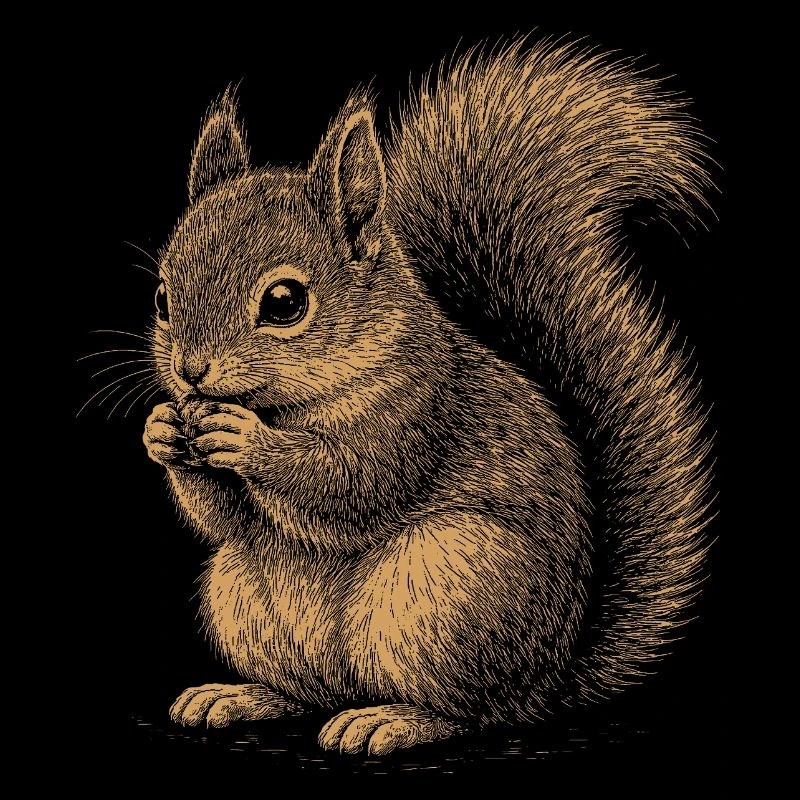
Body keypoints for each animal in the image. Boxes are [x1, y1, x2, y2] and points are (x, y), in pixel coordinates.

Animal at [141, 38, 713, 756]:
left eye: (285, 303)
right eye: (163, 297)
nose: (190, 372)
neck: (288, 402)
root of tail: (546, 684)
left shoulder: (418, 409)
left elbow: (352, 485)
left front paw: (246, 442)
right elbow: (227, 521)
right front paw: (162, 431)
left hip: (447, 593)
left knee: (471, 711)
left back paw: (392, 719)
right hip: (243, 598)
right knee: (311, 692)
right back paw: (242, 696)